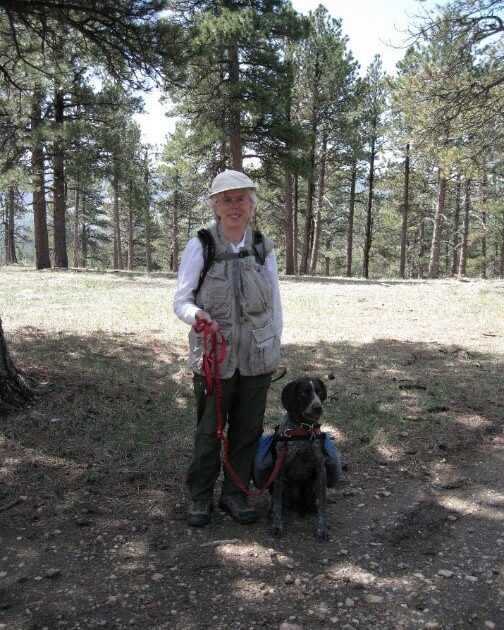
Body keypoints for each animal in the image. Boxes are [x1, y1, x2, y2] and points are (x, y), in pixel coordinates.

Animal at [272, 378, 330, 540]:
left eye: (319, 391)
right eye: (304, 393)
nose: (318, 408)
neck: (304, 430)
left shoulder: (320, 468)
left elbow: (322, 504)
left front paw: (322, 528)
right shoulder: (280, 469)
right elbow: (277, 504)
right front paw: (276, 526)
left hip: (314, 484)